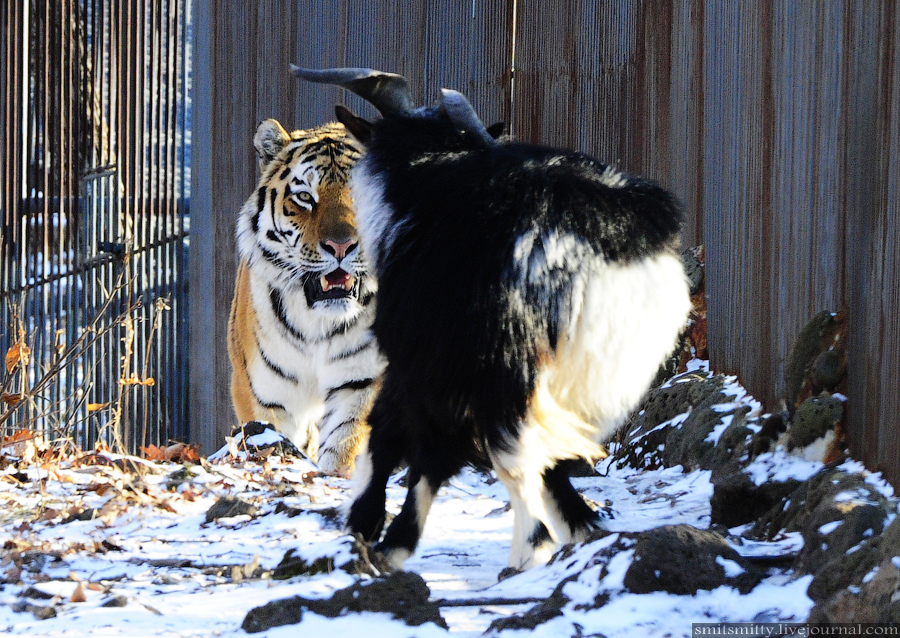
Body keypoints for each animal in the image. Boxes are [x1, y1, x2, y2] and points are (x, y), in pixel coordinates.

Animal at [229, 120, 384, 478]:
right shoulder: (264, 392)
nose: (341, 246)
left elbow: (345, 442)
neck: (318, 323)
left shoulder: (363, 380)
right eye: (304, 197)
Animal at [292, 65, 692, 572]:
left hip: (502, 362)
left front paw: (372, 531)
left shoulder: (421, 358)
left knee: (505, 455)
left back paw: (528, 549)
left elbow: (393, 438)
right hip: (588, 375)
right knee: (543, 456)